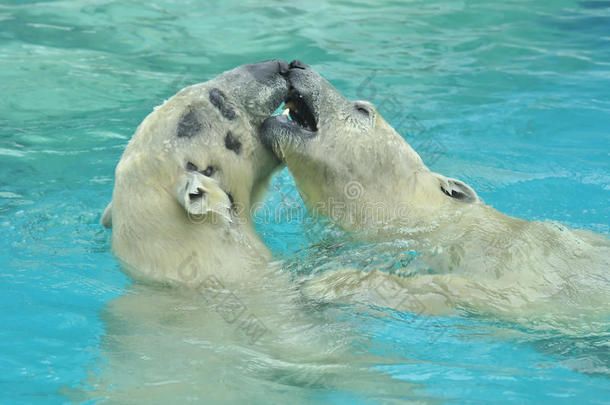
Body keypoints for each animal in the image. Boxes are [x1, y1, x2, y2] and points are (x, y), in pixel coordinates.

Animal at [262, 59, 608, 326]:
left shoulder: (524, 265)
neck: (435, 228)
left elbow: (484, 293)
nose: (297, 64)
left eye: (363, 109)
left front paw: (332, 283)